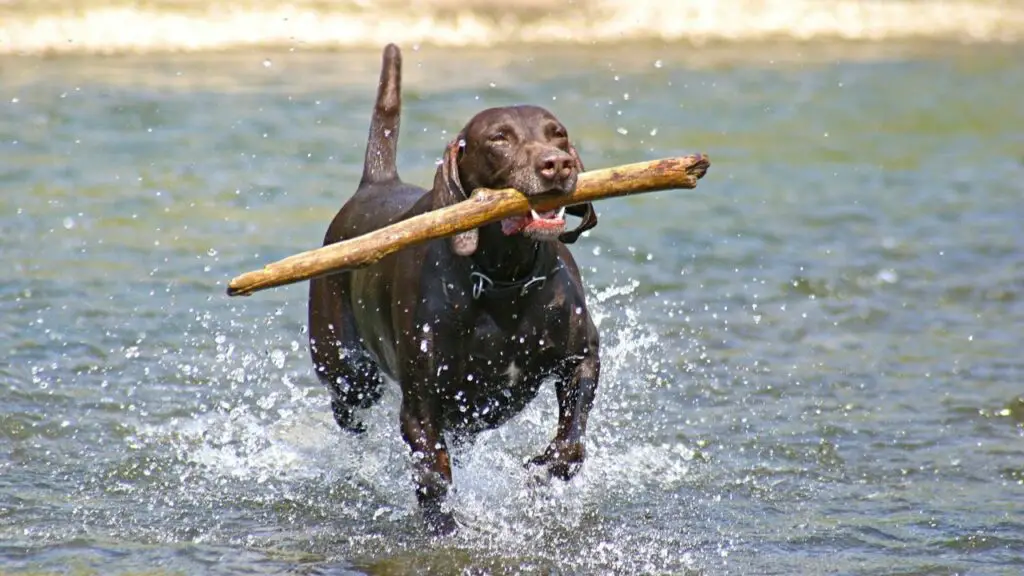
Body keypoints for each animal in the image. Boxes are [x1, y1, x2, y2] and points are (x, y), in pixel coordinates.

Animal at [307, 44, 602, 532]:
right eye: (499, 138)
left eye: (557, 133)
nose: (556, 164)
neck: (504, 280)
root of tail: (375, 183)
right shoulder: (422, 403)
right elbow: (432, 475)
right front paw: (444, 527)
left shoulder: (581, 359)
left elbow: (571, 445)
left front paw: (541, 470)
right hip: (348, 371)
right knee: (348, 409)